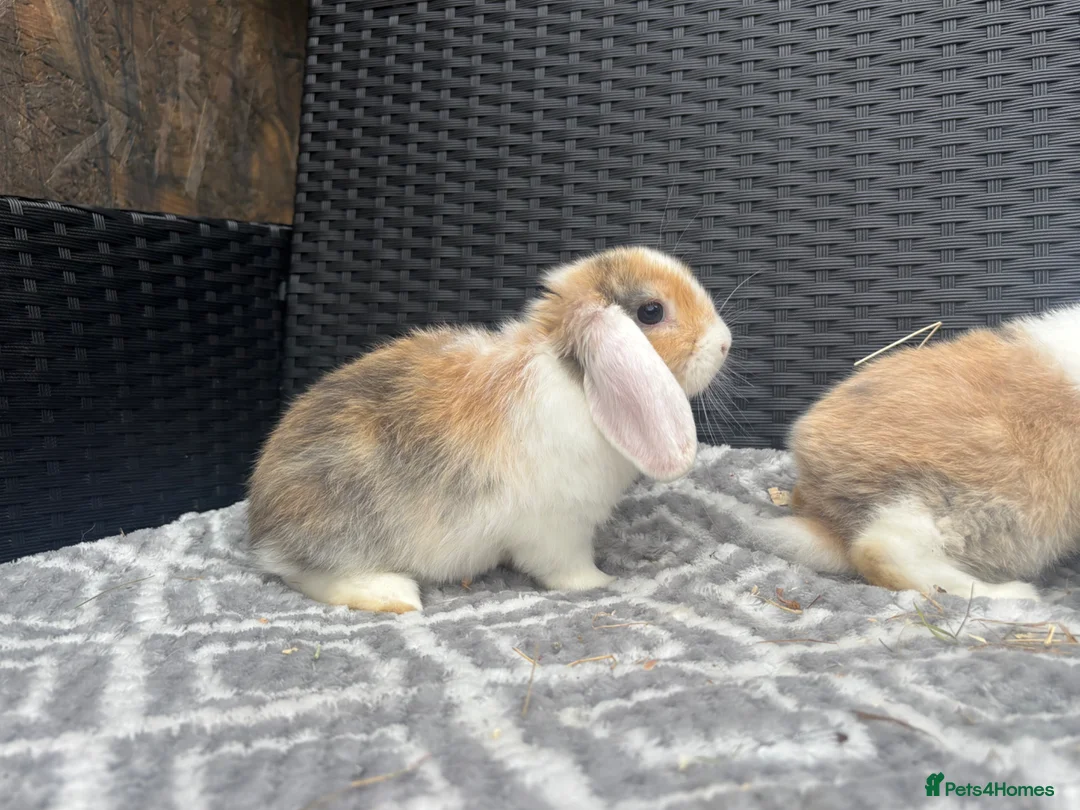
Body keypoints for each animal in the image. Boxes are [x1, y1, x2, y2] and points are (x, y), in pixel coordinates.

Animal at [247, 246, 732, 612]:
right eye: (651, 311)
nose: (725, 342)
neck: (575, 376)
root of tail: (262, 525)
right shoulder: (558, 528)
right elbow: (567, 568)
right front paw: (600, 581)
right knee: (310, 575)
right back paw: (394, 595)